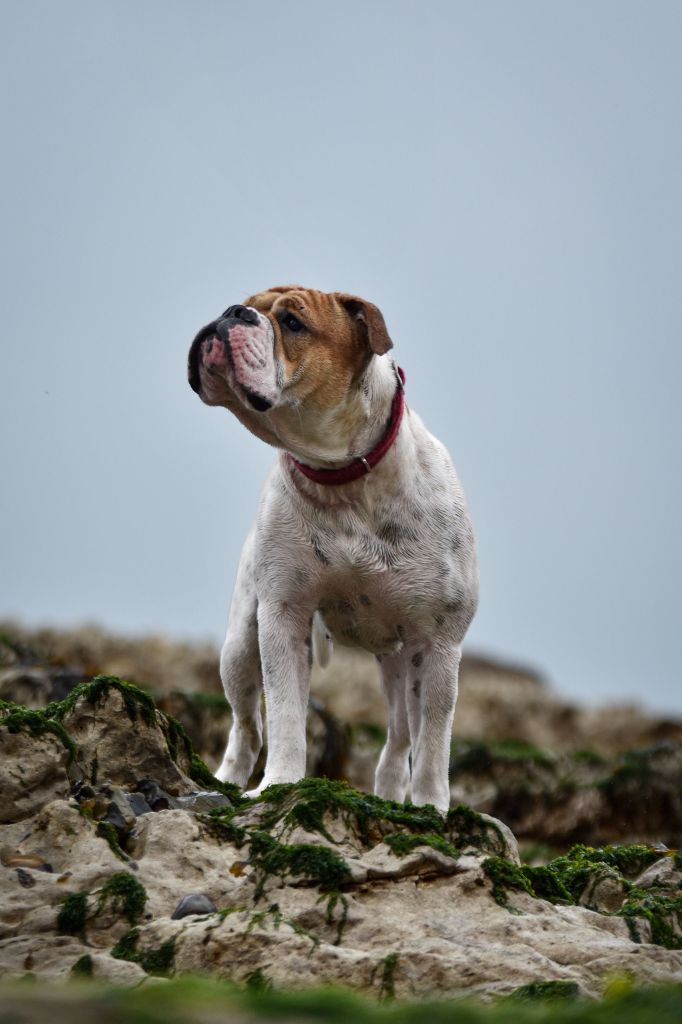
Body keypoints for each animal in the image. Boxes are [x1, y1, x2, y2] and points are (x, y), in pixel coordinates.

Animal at [187, 284, 477, 811]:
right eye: (245, 304)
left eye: (293, 323)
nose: (232, 313)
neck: (344, 478)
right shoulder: (284, 615)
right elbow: (285, 715)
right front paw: (279, 784)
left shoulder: (438, 644)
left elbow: (432, 744)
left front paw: (430, 809)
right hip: (239, 644)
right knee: (246, 725)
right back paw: (228, 780)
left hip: (400, 666)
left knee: (400, 737)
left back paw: (391, 794)